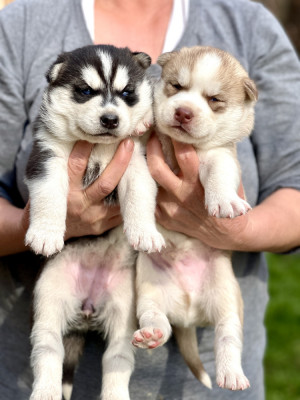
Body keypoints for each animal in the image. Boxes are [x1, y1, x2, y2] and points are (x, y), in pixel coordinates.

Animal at [26, 44, 164, 400]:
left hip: (123, 309)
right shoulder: (47, 158)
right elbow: (49, 196)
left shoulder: (136, 162)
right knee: (48, 348)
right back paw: (45, 390)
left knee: (117, 357)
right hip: (49, 296)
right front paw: (45, 234)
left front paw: (145, 232)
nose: (110, 119)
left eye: (127, 93)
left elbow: (140, 196)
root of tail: (87, 307)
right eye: (85, 91)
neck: (99, 149)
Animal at [134, 46, 258, 390]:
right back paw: (151, 335)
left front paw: (225, 201)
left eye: (214, 99)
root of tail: (188, 314)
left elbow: (219, 174)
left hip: (227, 295)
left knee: (228, 334)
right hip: (148, 289)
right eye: (176, 86)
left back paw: (231, 373)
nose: (183, 113)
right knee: (156, 318)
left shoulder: (221, 155)